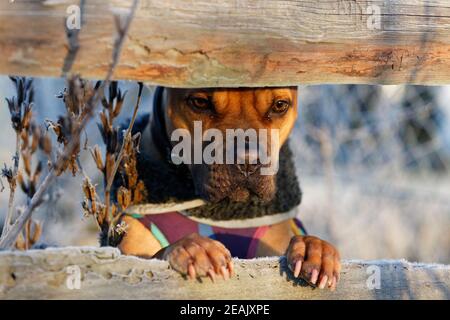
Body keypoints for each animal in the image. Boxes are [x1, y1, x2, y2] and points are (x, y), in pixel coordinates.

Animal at [117, 87, 342, 290]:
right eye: (200, 102)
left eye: (280, 105)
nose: (248, 162)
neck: (221, 214)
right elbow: (141, 264)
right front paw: (191, 247)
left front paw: (314, 249)